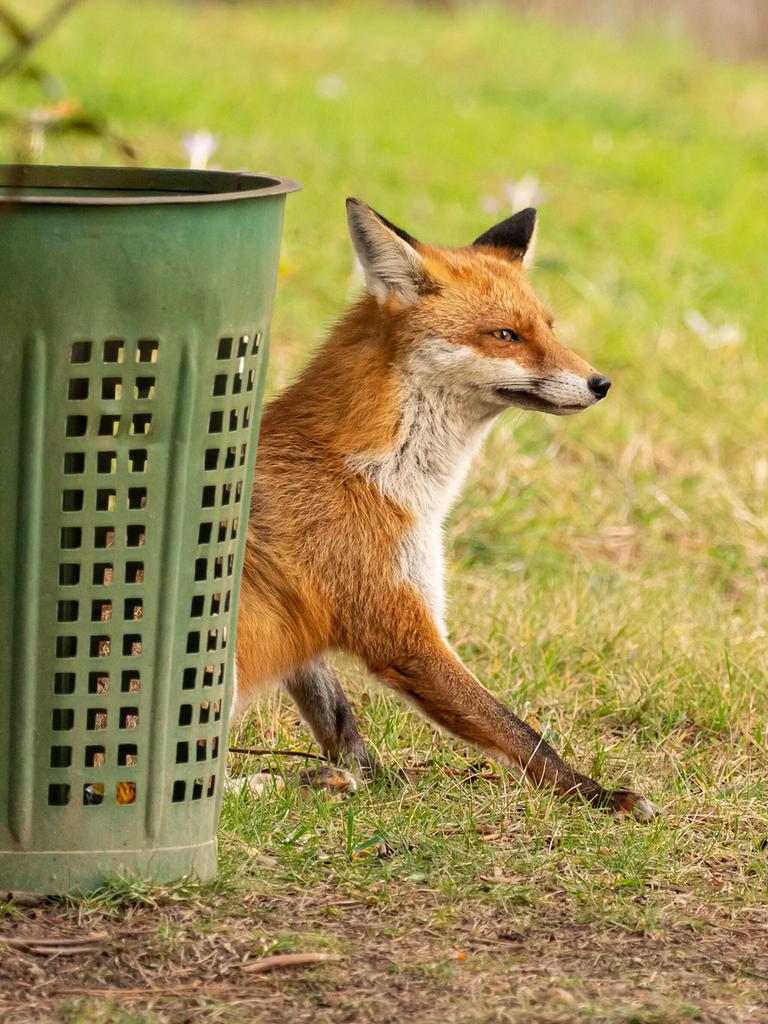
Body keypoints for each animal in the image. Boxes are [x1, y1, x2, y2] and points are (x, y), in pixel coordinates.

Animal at [231, 198, 658, 822]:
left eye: (548, 328)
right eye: (505, 335)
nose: (600, 383)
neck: (378, 474)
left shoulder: (316, 628)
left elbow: (340, 722)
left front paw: (378, 779)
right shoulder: (402, 629)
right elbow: (522, 734)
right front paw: (598, 796)